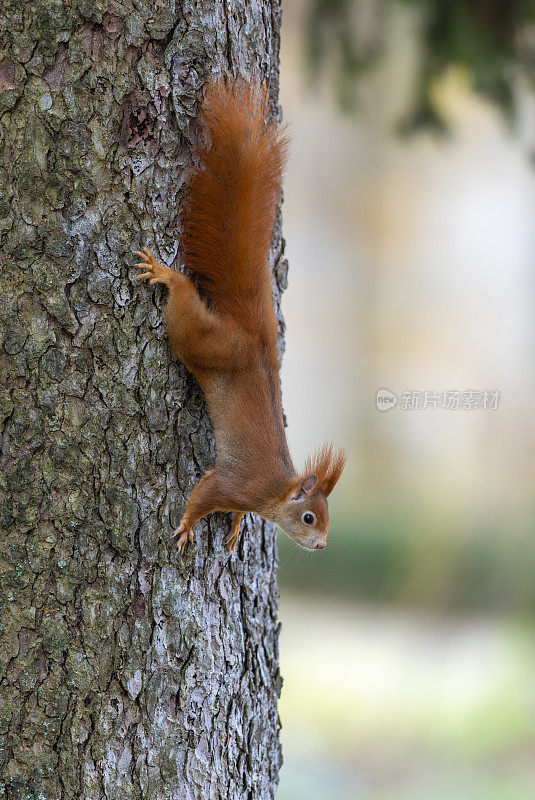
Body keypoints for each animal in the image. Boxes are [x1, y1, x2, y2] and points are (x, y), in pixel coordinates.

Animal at [133, 83, 344, 556]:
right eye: (309, 517)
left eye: (327, 519)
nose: (322, 545)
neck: (276, 494)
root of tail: (254, 336)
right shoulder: (237, 483)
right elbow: (205, 494)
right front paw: (188, 525)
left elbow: (233, 512)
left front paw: (234, 526)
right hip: (202, 341)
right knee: (184, 306)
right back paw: (166, 275)